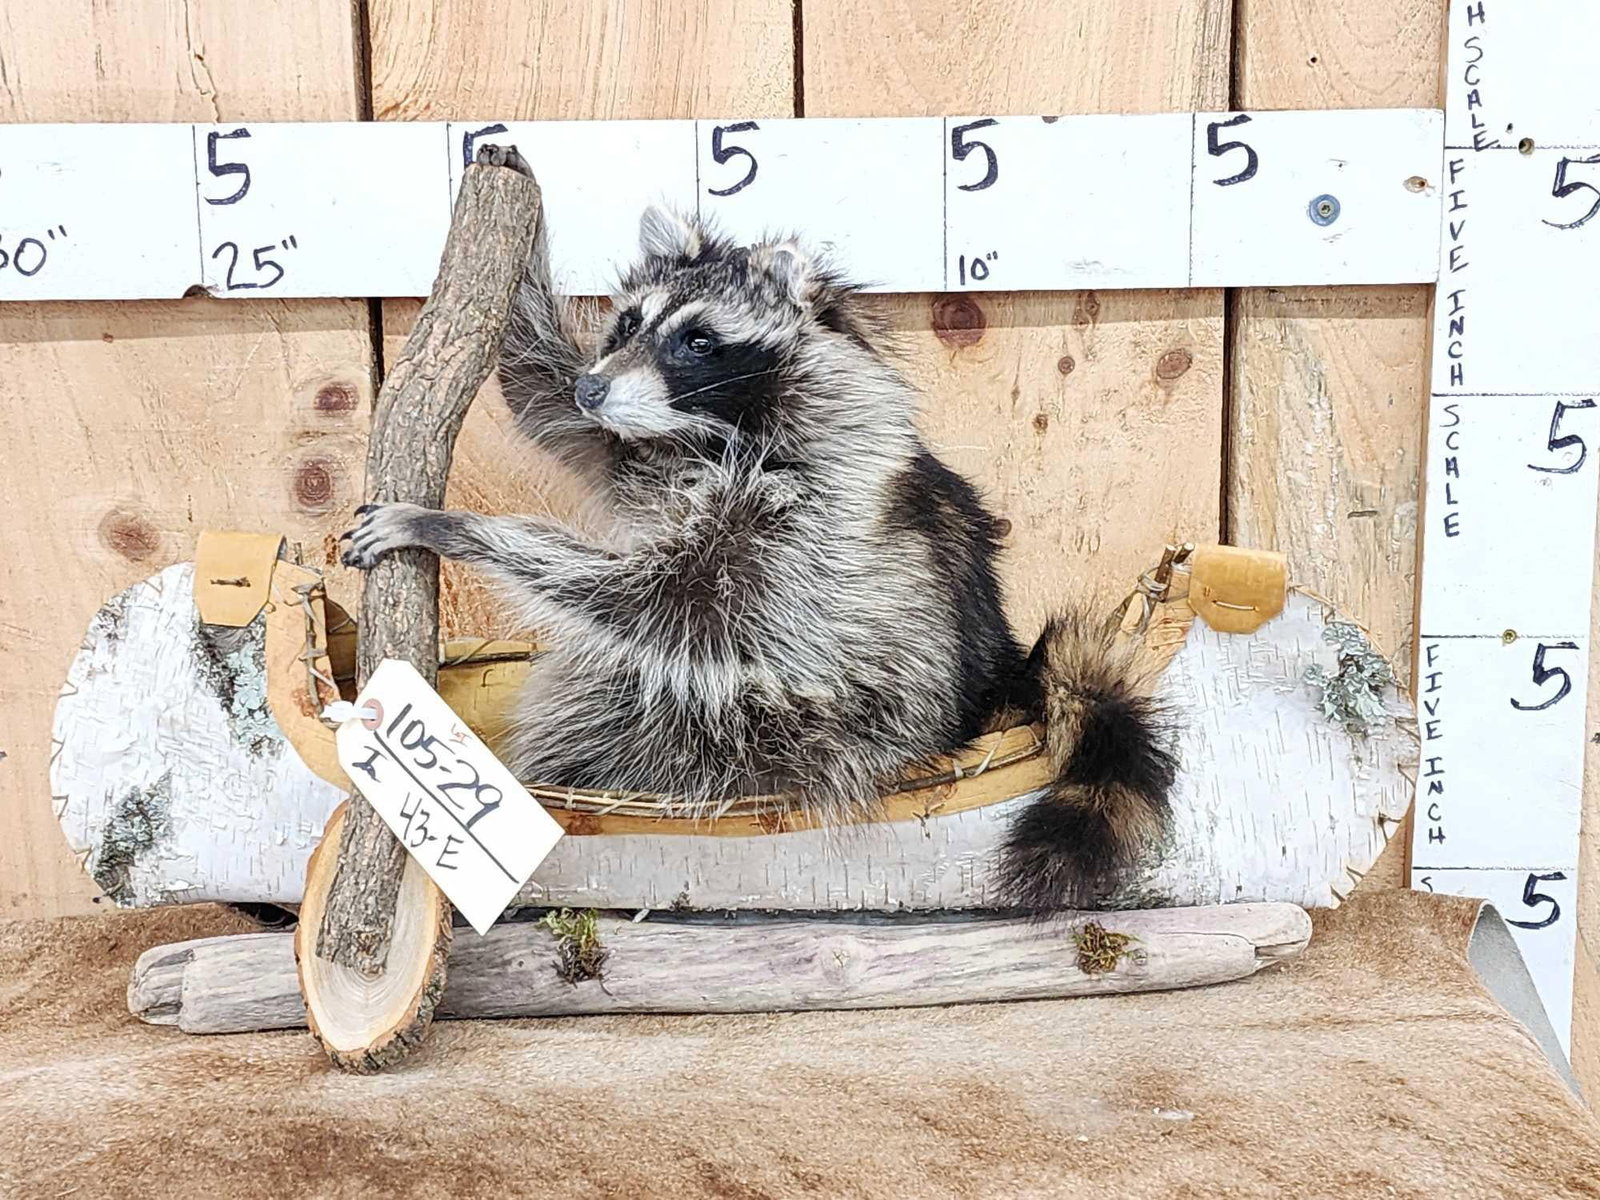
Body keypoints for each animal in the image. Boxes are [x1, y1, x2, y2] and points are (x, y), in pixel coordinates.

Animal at [341, 206, 1176, 909]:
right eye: (629, 322)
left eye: (699, 341)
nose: (594, 387)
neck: (705, 430)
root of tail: (995, 687)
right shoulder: (639, 450)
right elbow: (549, 407)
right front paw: (521, 245)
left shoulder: (805, 521)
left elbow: (678, 602)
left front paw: (456, 527)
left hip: (798, 730)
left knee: (622, 703)